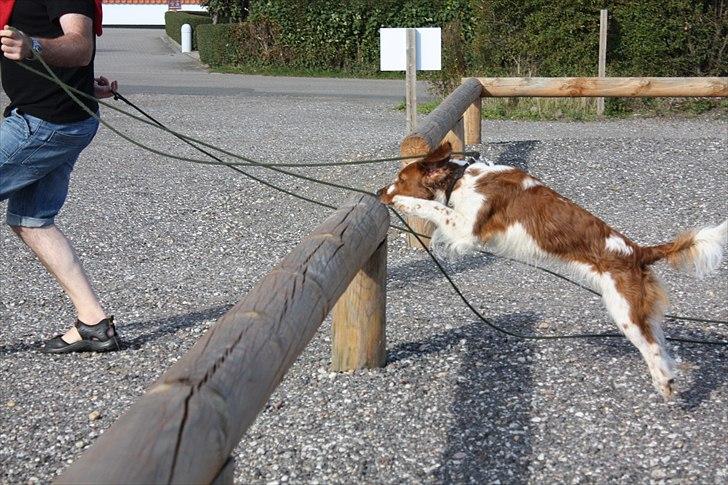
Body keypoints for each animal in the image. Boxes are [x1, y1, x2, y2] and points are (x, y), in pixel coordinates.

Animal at [378, 140, 724, 398]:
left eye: (400, 179)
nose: (381, 191)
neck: (463, 178)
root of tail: (639, 251)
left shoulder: (466, 230)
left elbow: (433, 207)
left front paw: (402, 201)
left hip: (624, 310)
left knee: (652, 347)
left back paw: (665, 385)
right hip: (635, 310)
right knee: (661, 344)